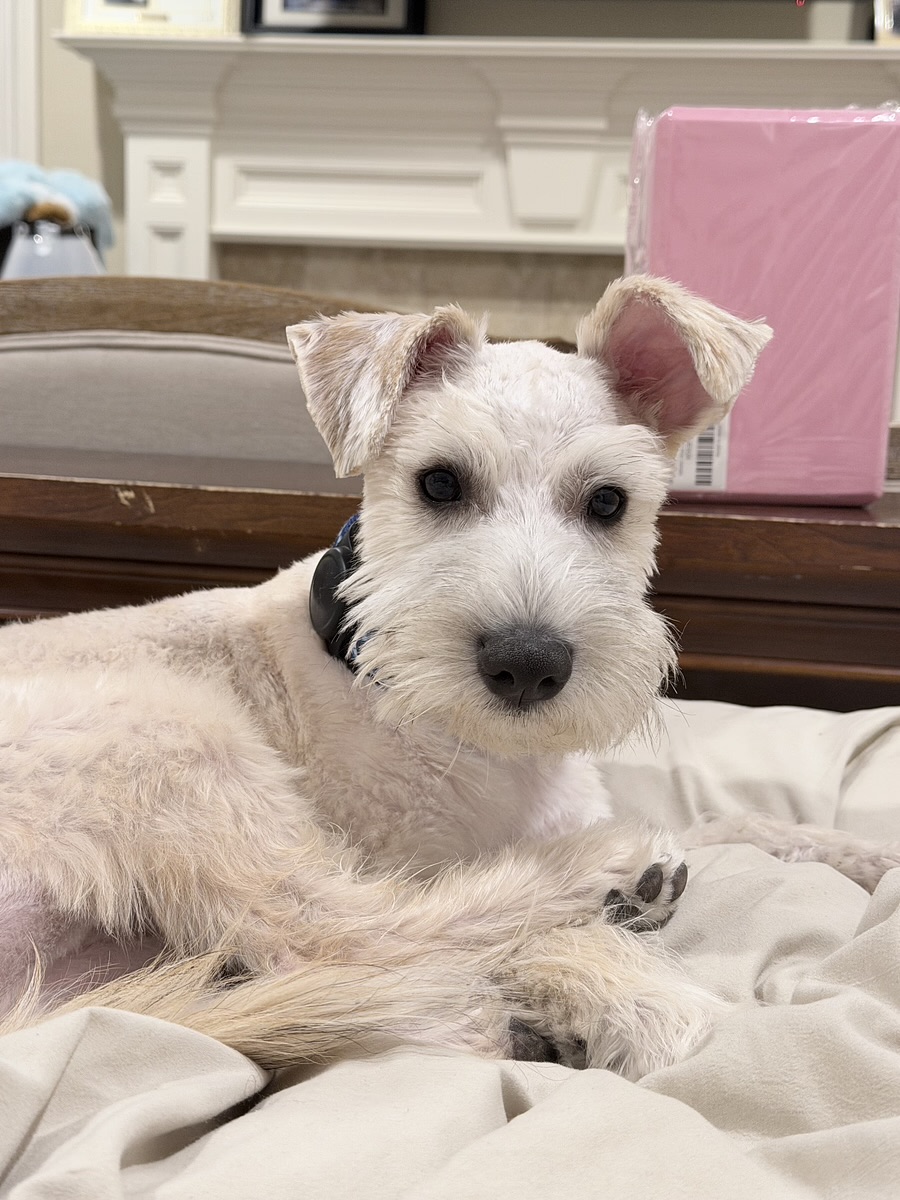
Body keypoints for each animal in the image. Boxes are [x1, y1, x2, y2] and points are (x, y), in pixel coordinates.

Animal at [2, 275, 894, 1080]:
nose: (528, 665)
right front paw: (642, 1002)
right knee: (340, 937)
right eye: (438, 482)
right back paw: (603, 887)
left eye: (609, 502)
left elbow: (730, 821)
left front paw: (860, 853)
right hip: (170, 737)